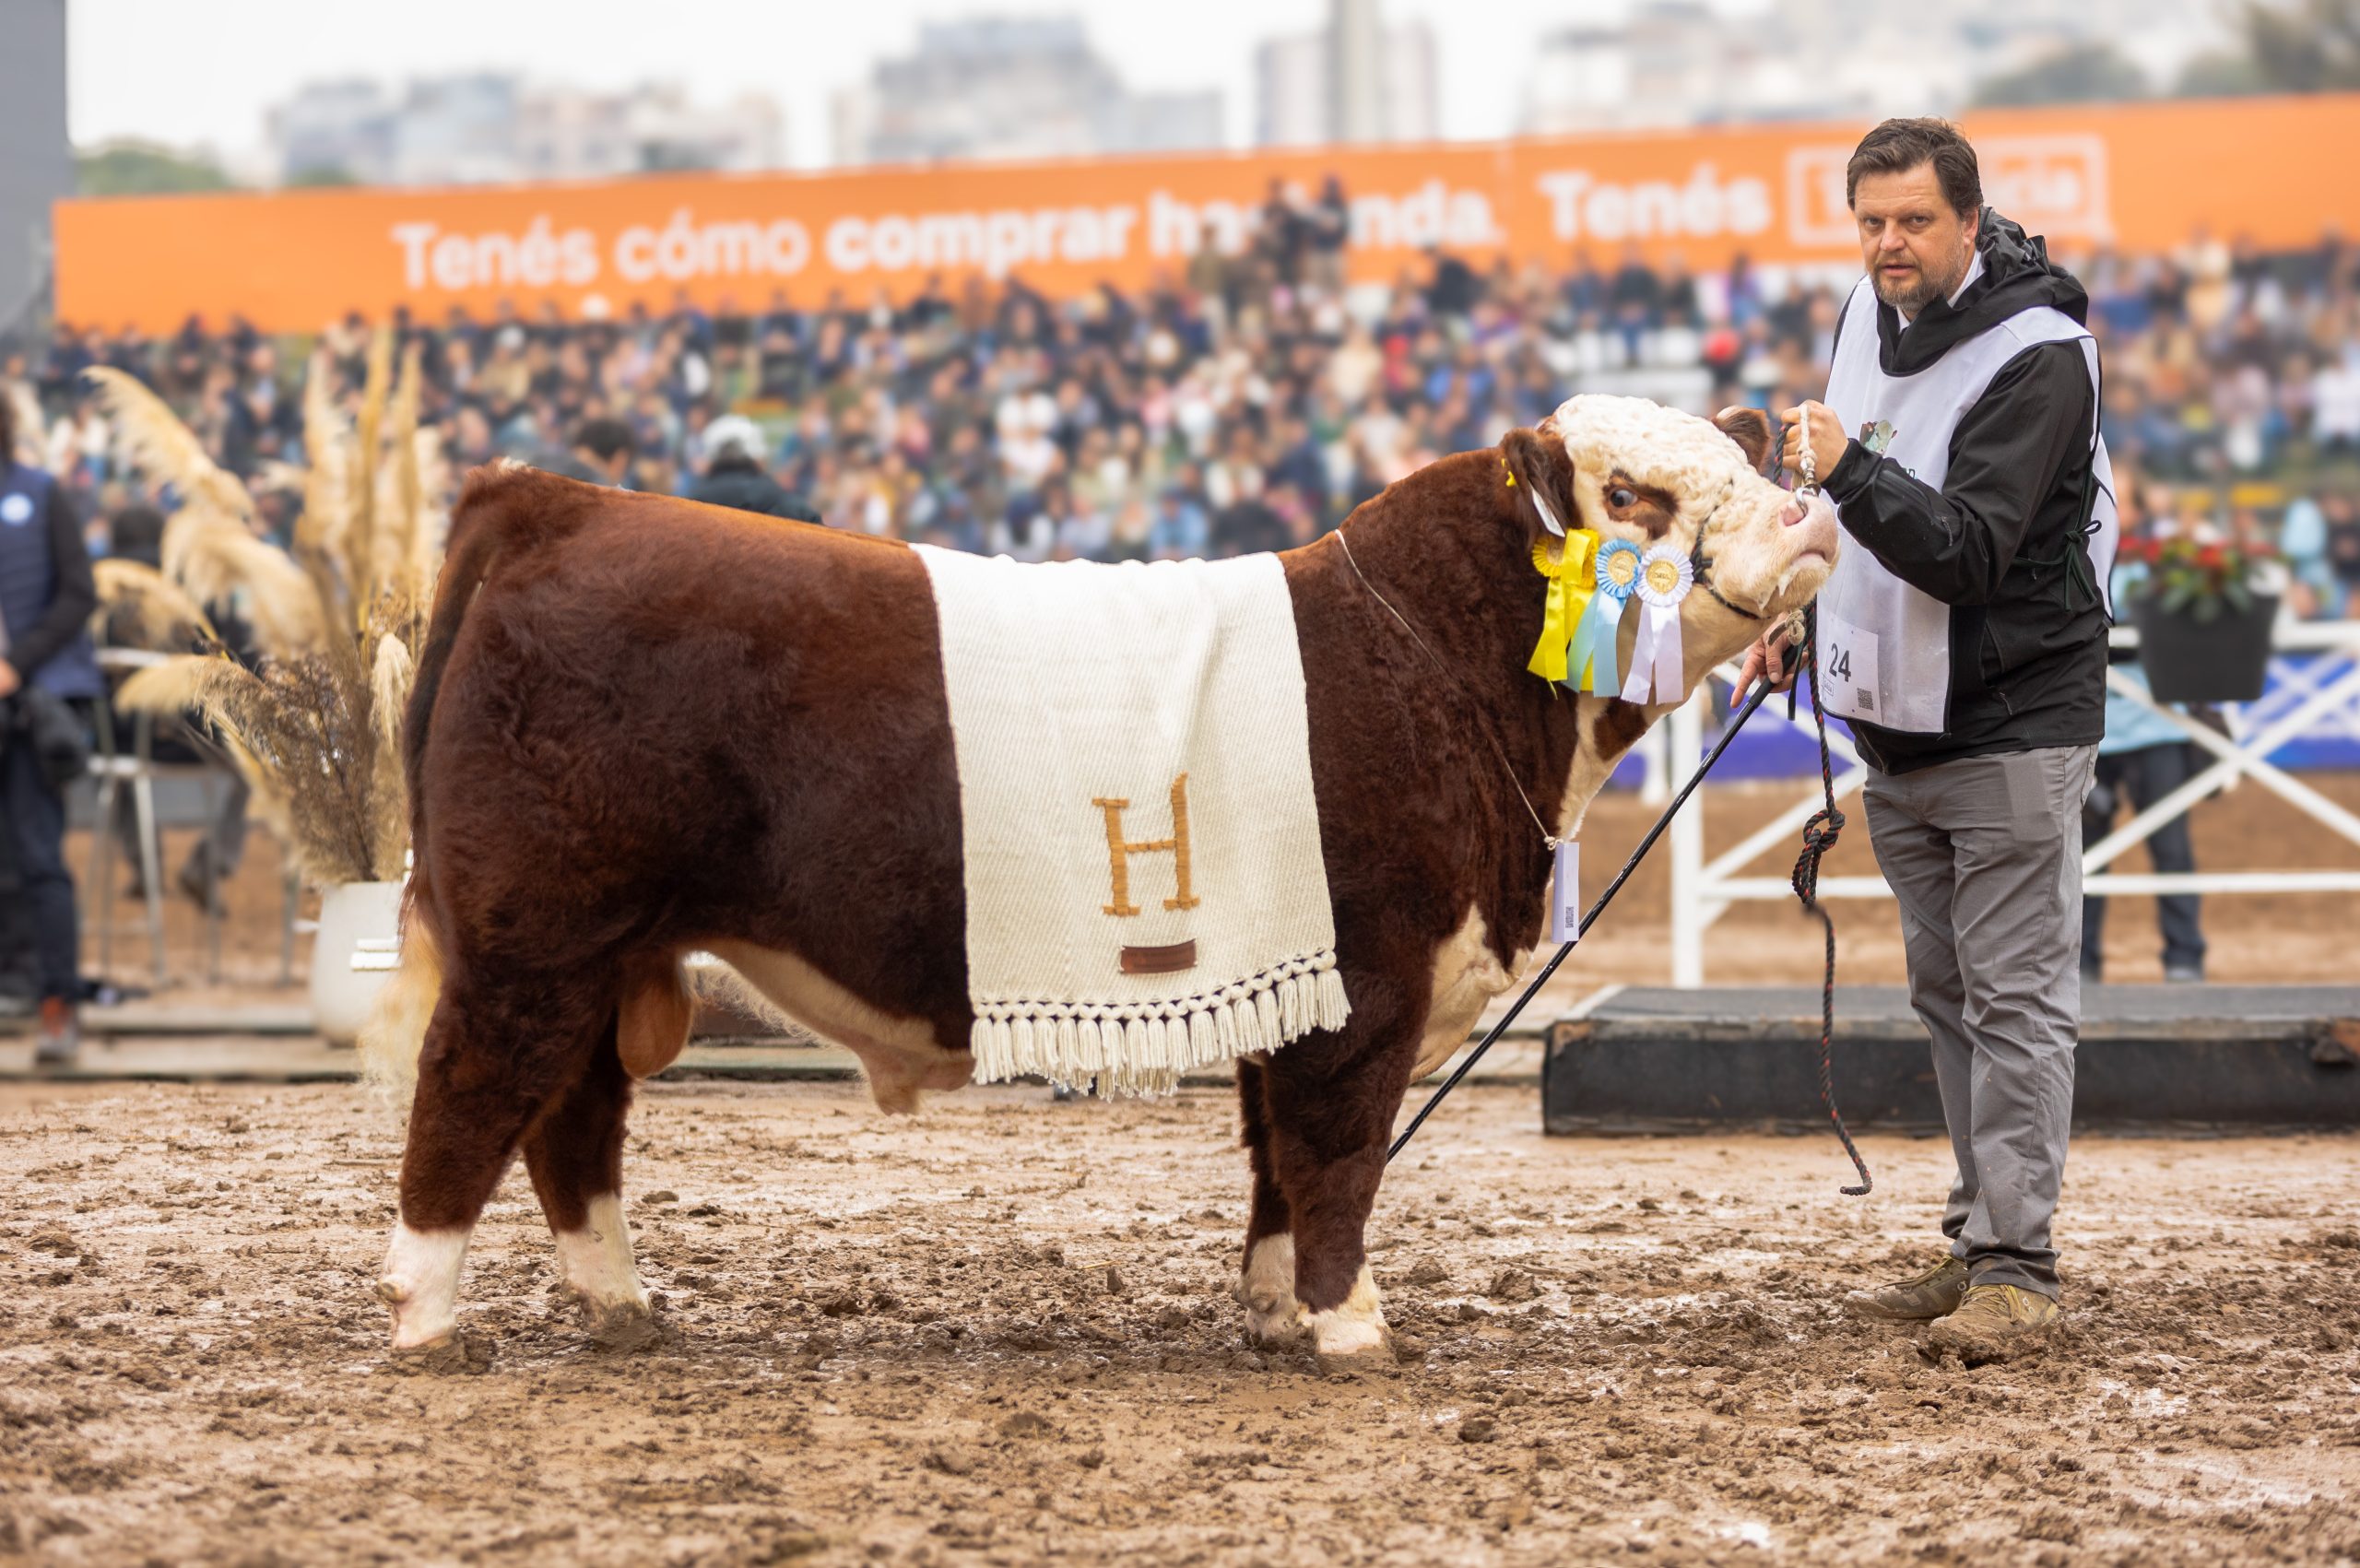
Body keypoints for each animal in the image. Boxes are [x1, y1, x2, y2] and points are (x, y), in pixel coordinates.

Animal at [372, 394, 1840, 1369]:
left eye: (1743, 457)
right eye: (1632, 494)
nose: (1806, 511)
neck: (1432, 659)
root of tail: (561, 502)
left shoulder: (1292, 978)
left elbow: (1276, 1162)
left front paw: (1273, 1314)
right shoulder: (1366, 984)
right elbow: (1337, 1157)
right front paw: (1352, 1329)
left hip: (608, 951)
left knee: (573, 1125)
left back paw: (622, 1310)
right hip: (533, 946)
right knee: (470, 1103)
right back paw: (429, 1323)